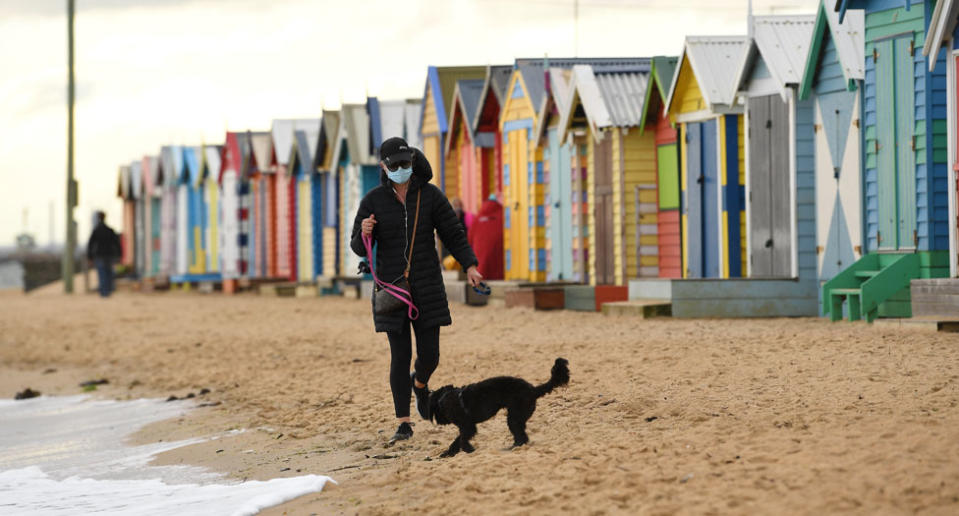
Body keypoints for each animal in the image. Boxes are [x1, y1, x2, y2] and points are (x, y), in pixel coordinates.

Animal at [430, 356, 568, 458]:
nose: (437, 421)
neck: (447, 399)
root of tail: (533, 390)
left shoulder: (468, 426)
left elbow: (462, 440)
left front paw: (469, 450)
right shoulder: (467, 426)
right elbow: (457, 441)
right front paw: (448, 453)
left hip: (514, 417)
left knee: (521, 437)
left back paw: (511, 448)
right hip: (518, 417)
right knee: (522, 436)